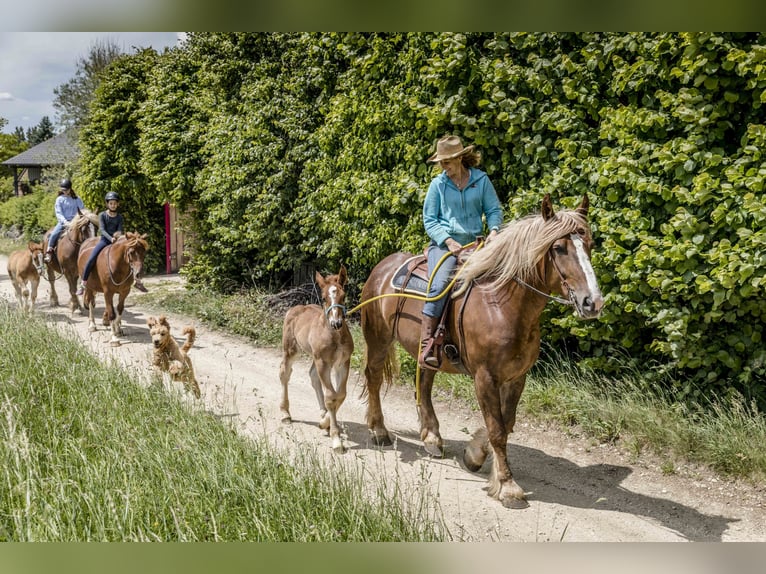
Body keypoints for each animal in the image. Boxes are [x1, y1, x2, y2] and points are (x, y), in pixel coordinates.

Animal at [280, 266, 356, 454]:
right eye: (323, 298)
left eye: (343, 296)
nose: (337, 323)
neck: (335, 335)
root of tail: (296, 308)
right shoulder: (324, 362)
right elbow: (331, 396)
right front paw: (336, 440)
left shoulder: (343, 363)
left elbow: (340, 394)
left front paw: (325, 423)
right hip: (291, 349)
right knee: (285, 373)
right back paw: (285, 414)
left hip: (315, 357)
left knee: (313, 376)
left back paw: (322, 414)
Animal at [360, 196, 608, 510]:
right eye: (559, 248)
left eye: (589, 244)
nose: (593, 303)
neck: (501, 305)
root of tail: (383, 266)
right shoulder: (485, 377)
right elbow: (497, 429)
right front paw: (507, 486)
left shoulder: (516, 377)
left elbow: (506, 422)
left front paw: (475, 454)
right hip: (378, 339)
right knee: (374, 378)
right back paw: (379, 431)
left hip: (426, 354)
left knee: (424, 386)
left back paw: (432, 438)